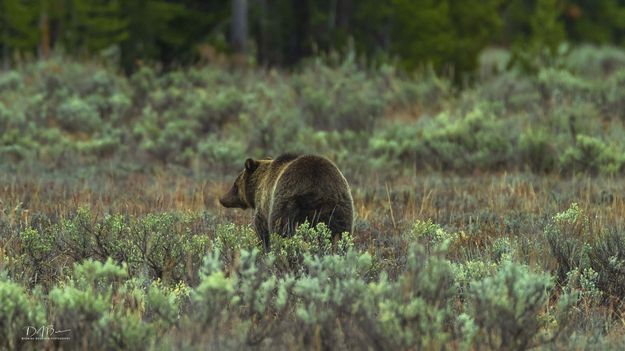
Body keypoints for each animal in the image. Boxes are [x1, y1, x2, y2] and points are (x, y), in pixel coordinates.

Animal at [219, 154, 354, 250]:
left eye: (235, 184)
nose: (222, 199)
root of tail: (316, 188)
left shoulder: (264, 205)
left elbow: (262, 229)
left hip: (287, 202)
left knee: (282, 229)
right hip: (339, 206)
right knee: (341, 233)